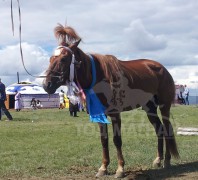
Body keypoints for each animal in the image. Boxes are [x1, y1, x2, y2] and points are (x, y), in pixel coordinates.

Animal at [43, 23, 179, 179]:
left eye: (63, 59)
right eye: (51, 59)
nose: (46, 85)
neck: (98, 77)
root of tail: (162, 68)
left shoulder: (115, 114)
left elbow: (117, 140)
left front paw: (120, 169)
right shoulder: (100, 115)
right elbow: (104, 140)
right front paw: (103, 167)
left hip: (164, 107)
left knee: (166, 128)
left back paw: (167, 161)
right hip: (149, 108)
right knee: (159, 129)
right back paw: (158, 160)